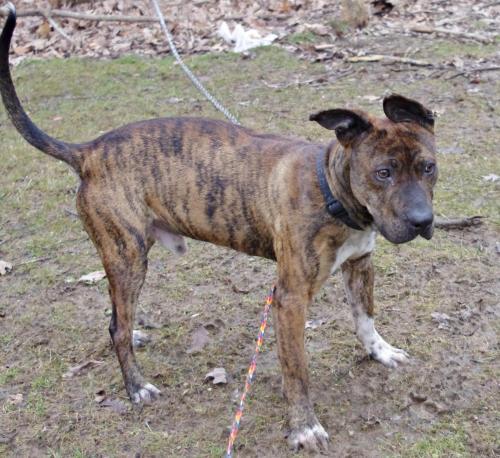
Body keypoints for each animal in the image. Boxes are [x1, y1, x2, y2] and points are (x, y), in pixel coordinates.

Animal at [0, 5, 438, 450]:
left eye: (428, 167)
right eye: (383, 173)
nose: (423, 221)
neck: (332, 191)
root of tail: (88, 151)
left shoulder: (360, 265)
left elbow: (365, 317)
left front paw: (380, 352)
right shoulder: (290, 300)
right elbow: (296, 370)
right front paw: (304, 425)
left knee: (117, 319)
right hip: (127, 256)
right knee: (117, 328)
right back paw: (136, 386)